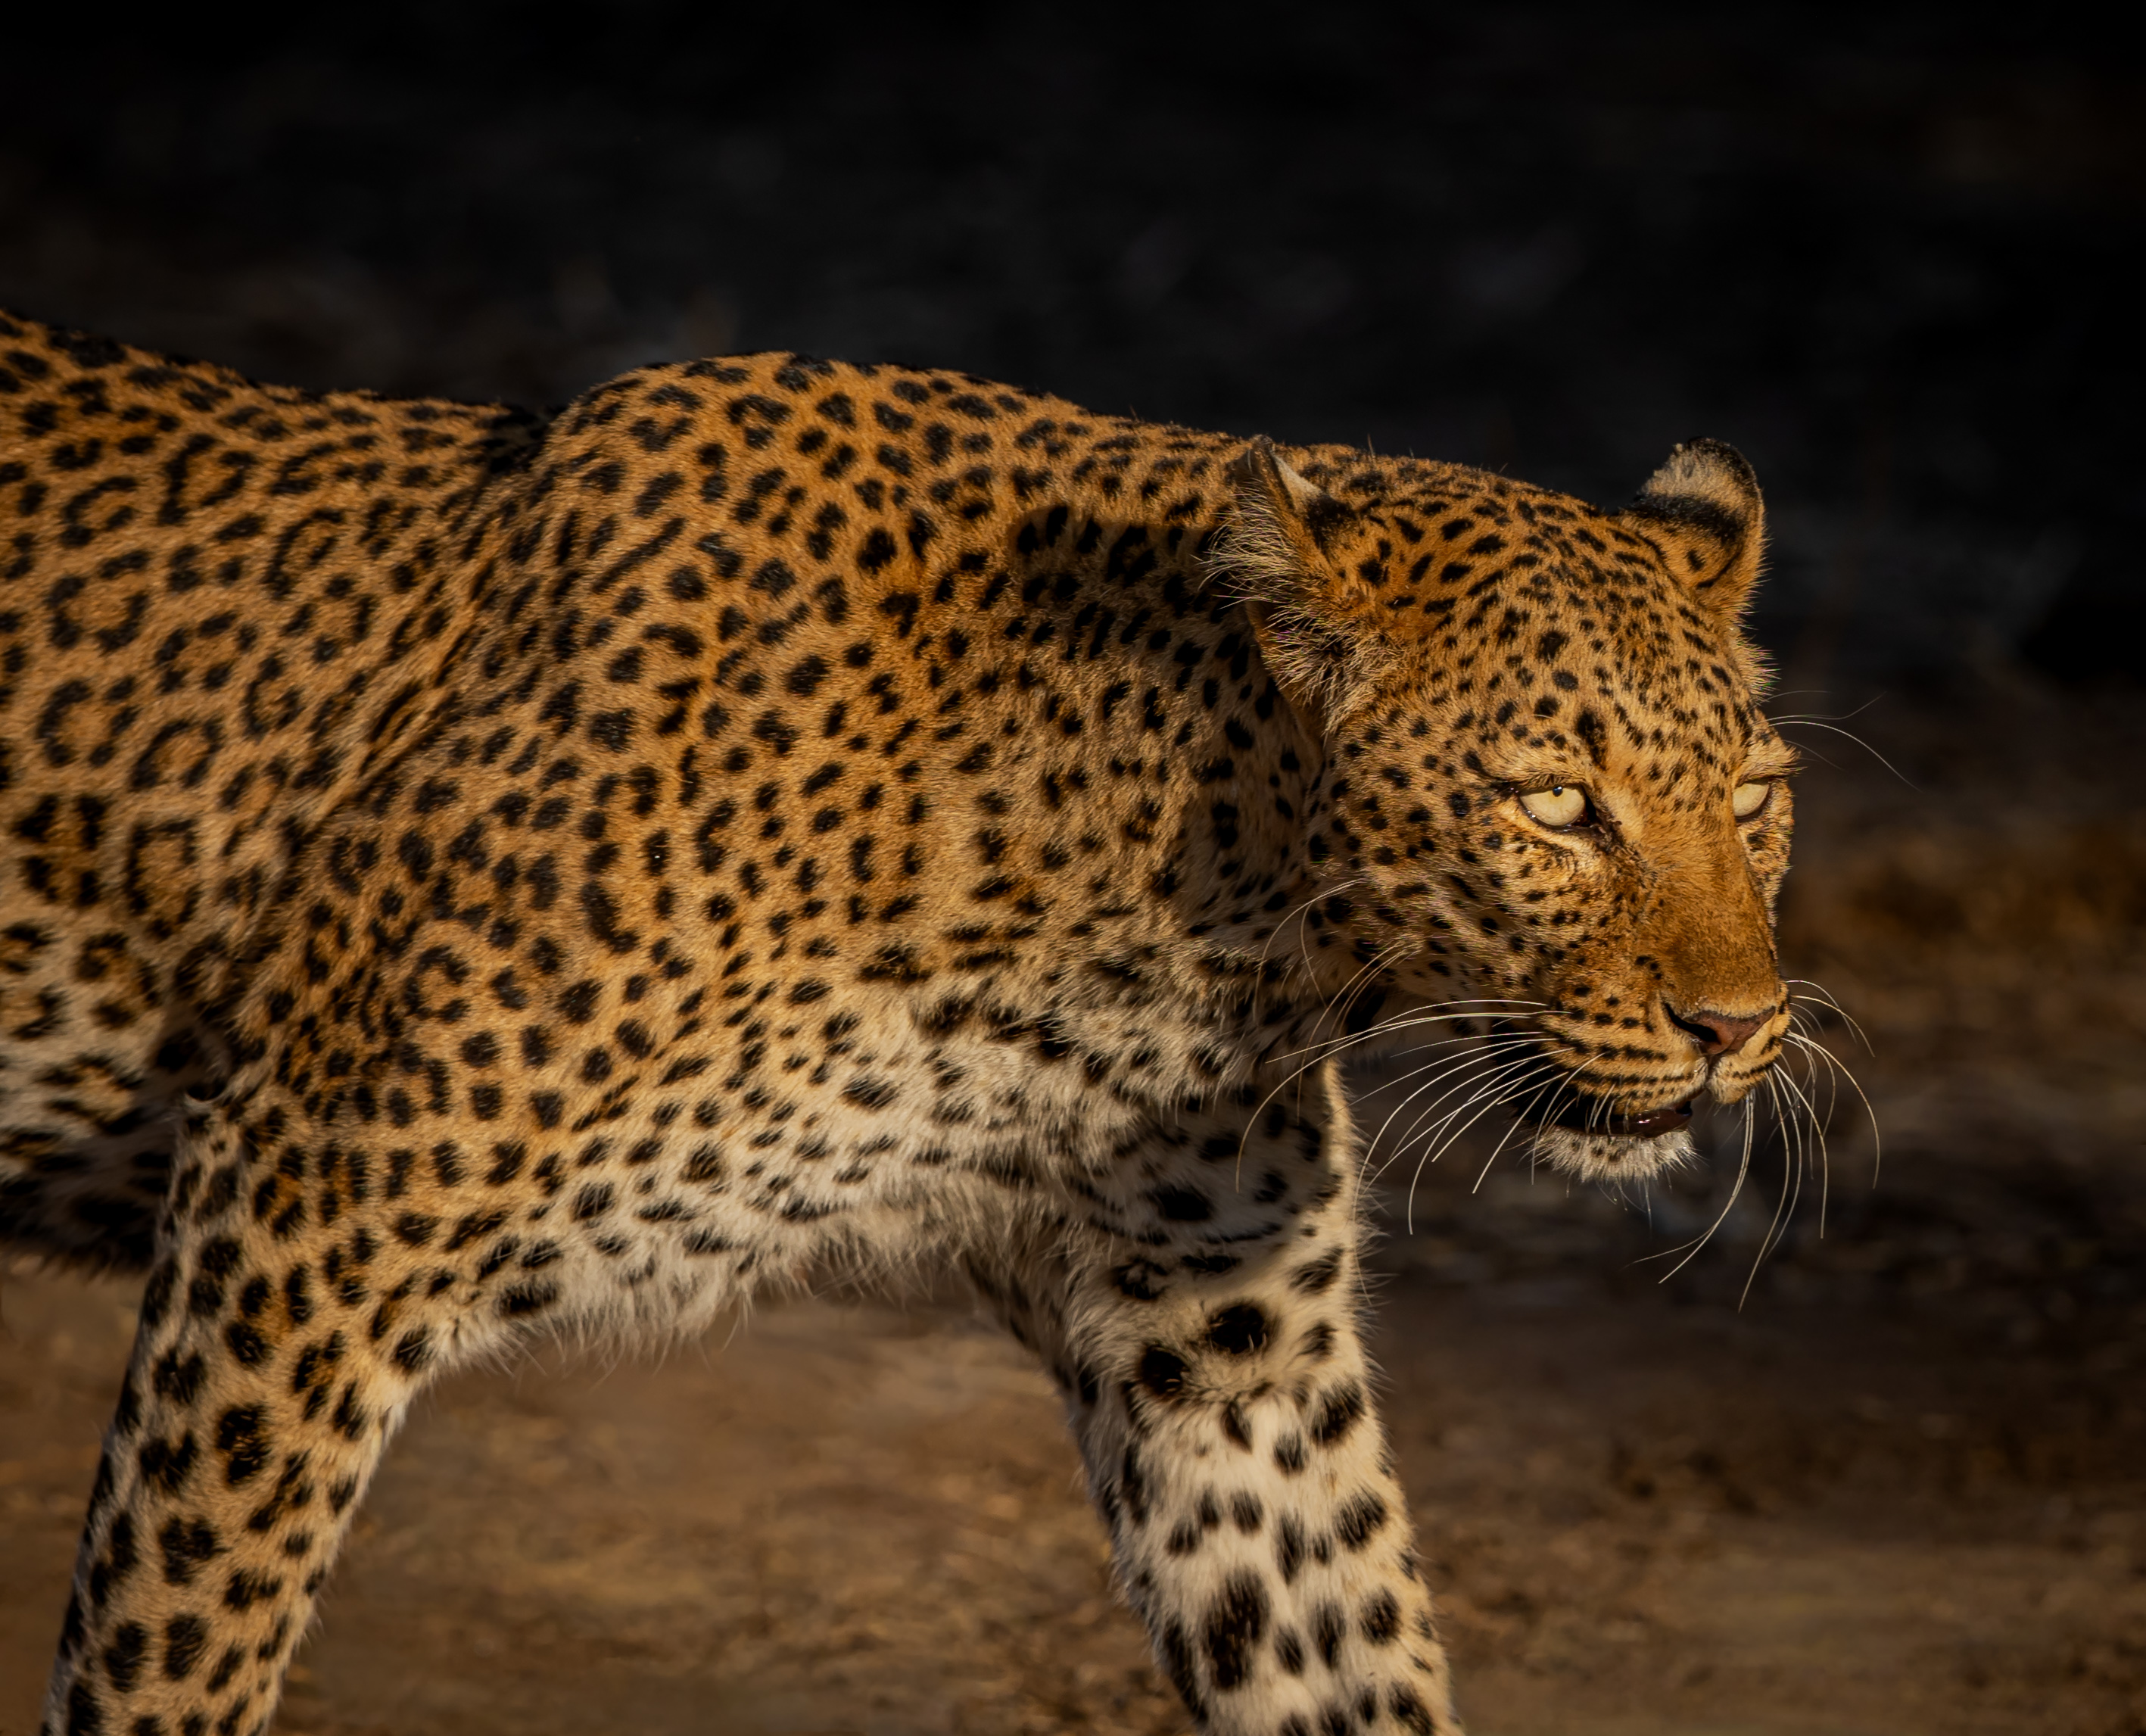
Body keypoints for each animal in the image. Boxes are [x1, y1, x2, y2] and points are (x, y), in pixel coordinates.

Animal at [0, 303, 1796, 1736]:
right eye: (1557, 806)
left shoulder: (1226, 1353)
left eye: (1753, 797)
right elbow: (175, 1645)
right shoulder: (306, 1220)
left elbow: (1346, 1651)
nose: (1740, 1025)